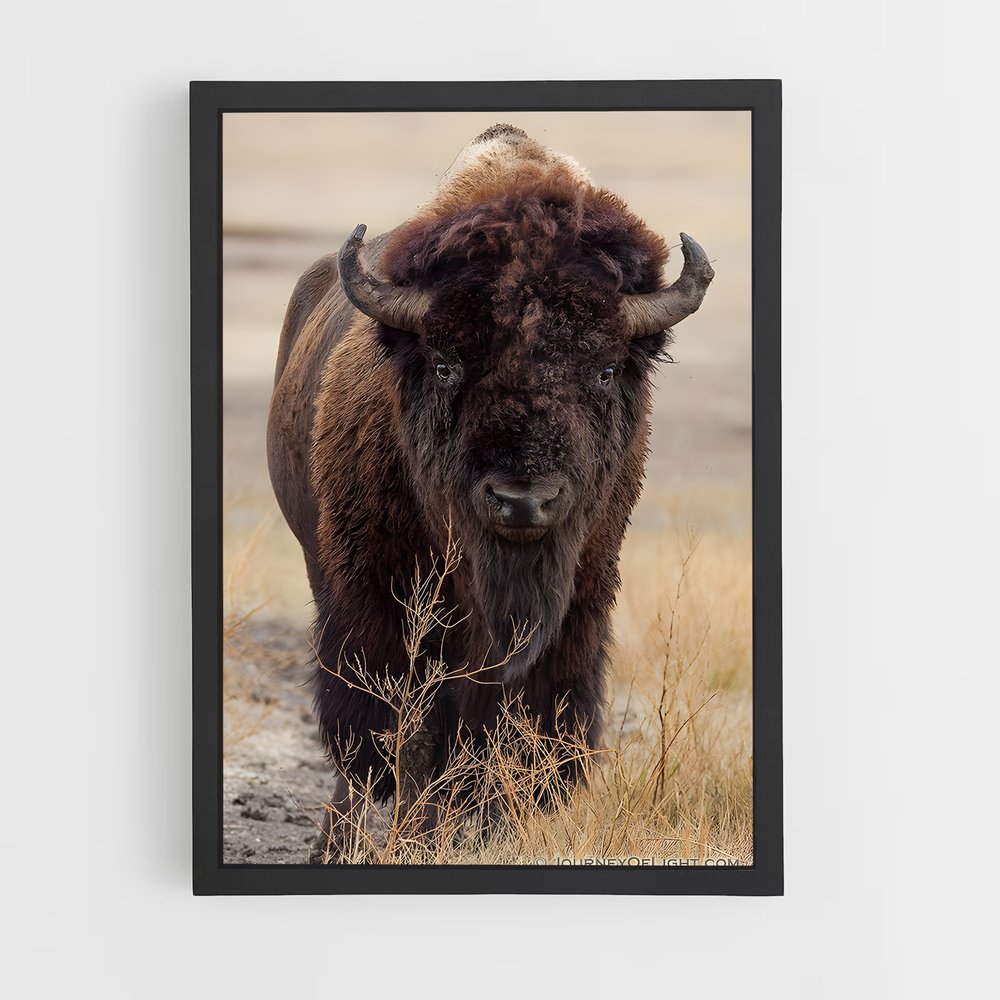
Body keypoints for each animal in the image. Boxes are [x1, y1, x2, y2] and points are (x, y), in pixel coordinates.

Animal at [266, 124, 714, 860]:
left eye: (604, 368)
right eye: (446, 363)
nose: (522, 500)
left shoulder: (576, 605)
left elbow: (519, 729)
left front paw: (496, 830)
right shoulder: (380, 603)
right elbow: (406, 735)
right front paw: (420, 837)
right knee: (363, 750)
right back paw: (338, 842)